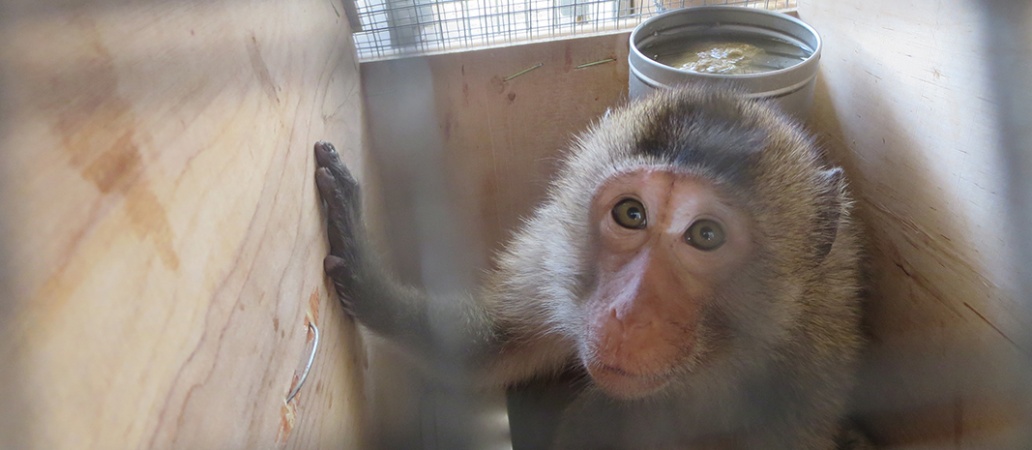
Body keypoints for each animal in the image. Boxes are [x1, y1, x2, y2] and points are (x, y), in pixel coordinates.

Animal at [314, 86, 867, 449]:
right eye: (631, 213)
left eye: (705, 235)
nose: (628, 314)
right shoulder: (552, 257)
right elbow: (486, 347)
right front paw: (365, 271)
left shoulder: (809, 363)